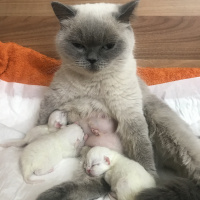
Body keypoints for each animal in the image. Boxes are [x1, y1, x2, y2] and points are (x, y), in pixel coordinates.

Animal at [36, 0, 200, 199]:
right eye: (78, 45)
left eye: (108, 46)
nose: (92, 59)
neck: (94, 83)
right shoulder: (52, 102)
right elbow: (41, 128)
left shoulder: (130, 116)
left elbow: (142, 154)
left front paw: (148, 180)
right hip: (90, 160)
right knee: (91, 184)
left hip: (163, 127)